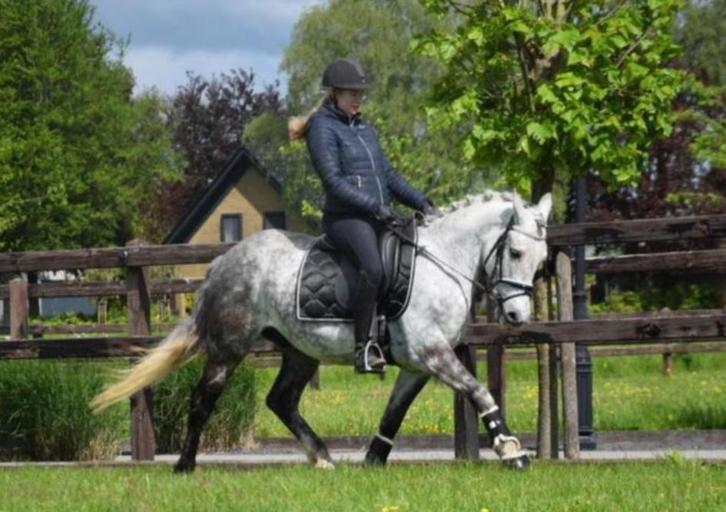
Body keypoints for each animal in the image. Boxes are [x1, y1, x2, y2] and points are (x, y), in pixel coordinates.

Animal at [91, 190, 552, 472]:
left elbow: (394, 413)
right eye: (514, 252)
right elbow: (479, 391)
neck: (442, 262)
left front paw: (372, 461)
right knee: (203, 400)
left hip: (300, 351)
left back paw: (322, 457)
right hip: (229, 349)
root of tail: (223, 262)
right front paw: (511, 449)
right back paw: (185, 465)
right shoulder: (433, 353)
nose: (517, 316)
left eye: (542, 258)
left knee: (280, 400)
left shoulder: (417, 365)